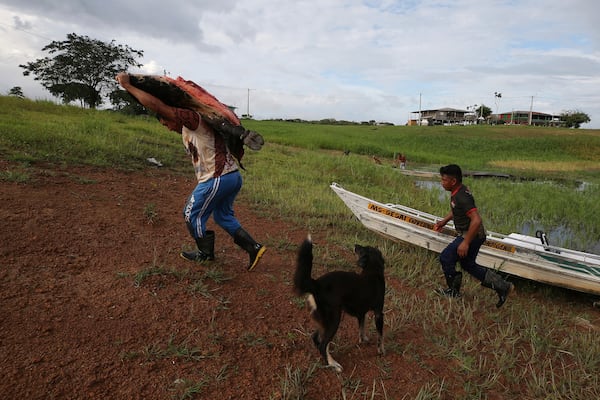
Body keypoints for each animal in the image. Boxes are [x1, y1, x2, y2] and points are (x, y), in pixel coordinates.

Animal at [294, 234, 386, 372]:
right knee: (322, 345)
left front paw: (363, 339)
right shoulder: (379, 313)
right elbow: (380, 335)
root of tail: (316, 284)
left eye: (362, 249)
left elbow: (362, 328)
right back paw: (333, 364)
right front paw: (381, 350)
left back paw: (328, 358)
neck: (372, 271)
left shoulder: (361, 312)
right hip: (334, 319)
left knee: (316, 339)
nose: (355, 245)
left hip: (324, 321)